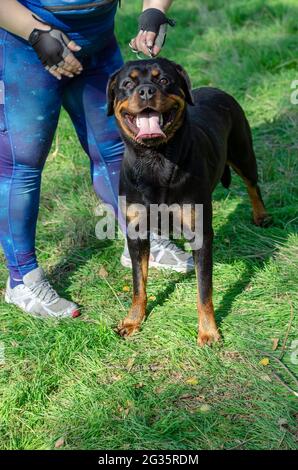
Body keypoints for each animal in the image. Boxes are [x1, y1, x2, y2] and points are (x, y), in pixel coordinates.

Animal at [107, 58, 270, 346]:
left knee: (252, 184)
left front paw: (209, 332)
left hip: (242, 151)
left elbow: (204, 290)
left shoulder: (200, 233)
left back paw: (261, 215)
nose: (146, 91)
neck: (156, 160)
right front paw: (133, 320)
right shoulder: (137, 233)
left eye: (163, 80)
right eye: (127, 83)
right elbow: (139, 283)